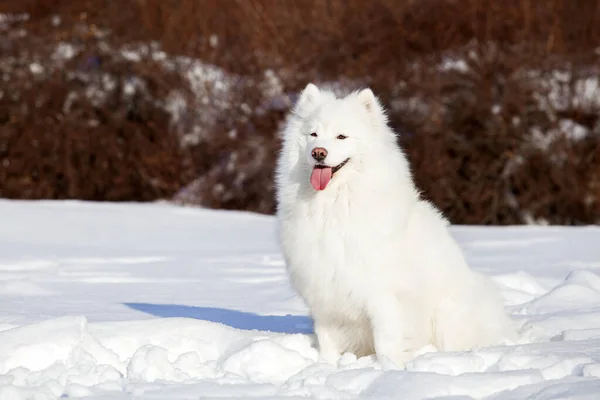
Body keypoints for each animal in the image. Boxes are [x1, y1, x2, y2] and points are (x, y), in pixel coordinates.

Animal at [274, 83, 512, 366]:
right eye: (313, 134)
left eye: (341, 137)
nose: (318, 153)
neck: (334, 205)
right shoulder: (324, 296)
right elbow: (327, 341)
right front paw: (327, 366)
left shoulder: (383, 297)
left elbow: (386, 342)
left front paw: (388, 368)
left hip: (449, 313)